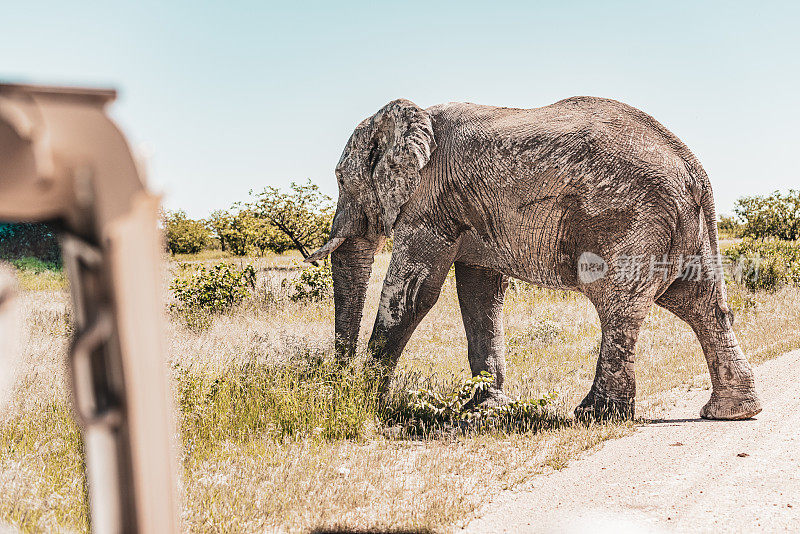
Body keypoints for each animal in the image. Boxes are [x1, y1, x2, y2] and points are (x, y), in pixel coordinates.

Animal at [304, 97, 764, 422]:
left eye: (341, 178)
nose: (337, 378)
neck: (415, 115)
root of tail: (695, 170)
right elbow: (480, 295)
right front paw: (486, 410)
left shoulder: (429, 202)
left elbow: (415, 294)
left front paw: (362, 402)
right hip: (686, 228)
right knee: (701, 304)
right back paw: (731, 412)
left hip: (633, 222)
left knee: (619, 306)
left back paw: (594, 415)